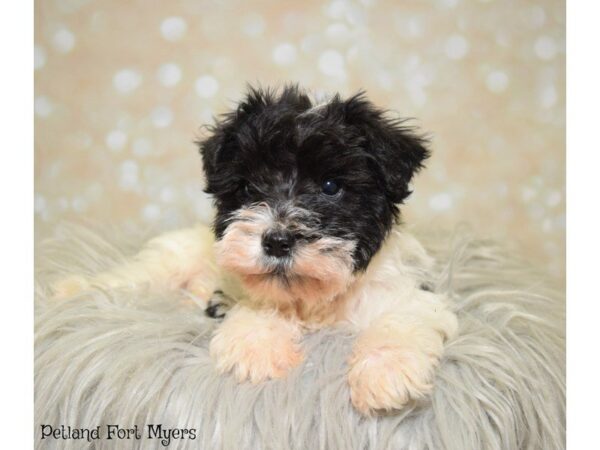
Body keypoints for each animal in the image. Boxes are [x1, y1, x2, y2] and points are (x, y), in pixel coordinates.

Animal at [55, 84, 460, 414]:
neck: (315, 301)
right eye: (249, 188)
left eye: (331, 186)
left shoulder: (407, 294)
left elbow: (402, 320)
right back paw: (74, 290)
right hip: (169, 262)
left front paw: (386, 373)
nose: (277, 241)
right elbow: (260, 301)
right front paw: (256, 347)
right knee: (132, 278)